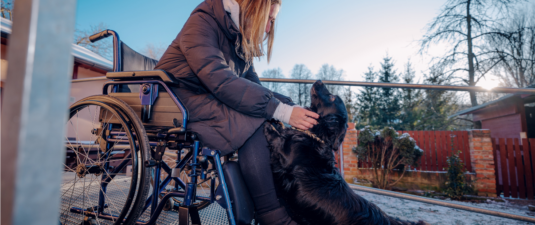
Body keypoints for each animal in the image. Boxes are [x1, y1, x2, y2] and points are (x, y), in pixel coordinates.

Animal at [266, 81, 430, 225]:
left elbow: (277, 140)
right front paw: (277, 122)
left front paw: (270, 125)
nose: (319, 80)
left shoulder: (285, 159)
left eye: (332, 97)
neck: (315, 136)